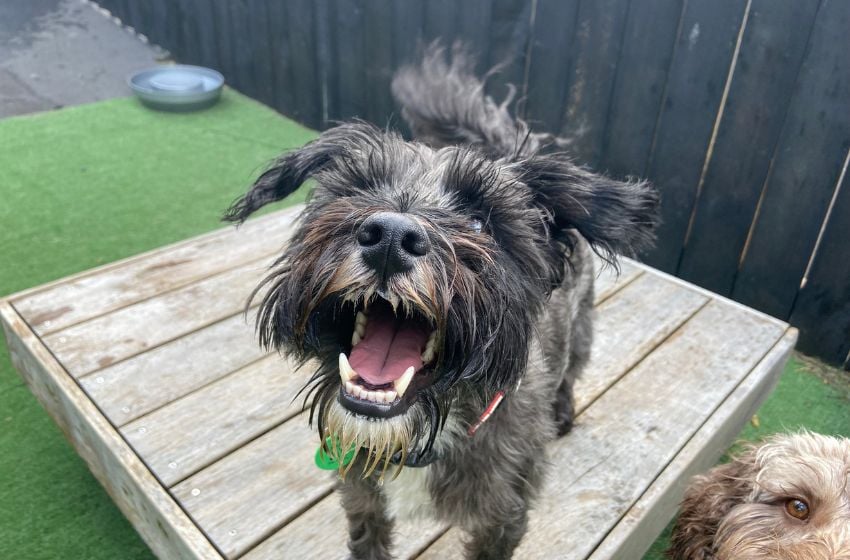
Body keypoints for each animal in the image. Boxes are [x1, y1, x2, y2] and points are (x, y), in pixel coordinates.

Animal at [224, 46, 656, 556]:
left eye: (479, 220)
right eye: (357, 190)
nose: (390, 237)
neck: (420, 439)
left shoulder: (502, 519)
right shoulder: (361, 498)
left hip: (582, 322)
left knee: (572, 365)